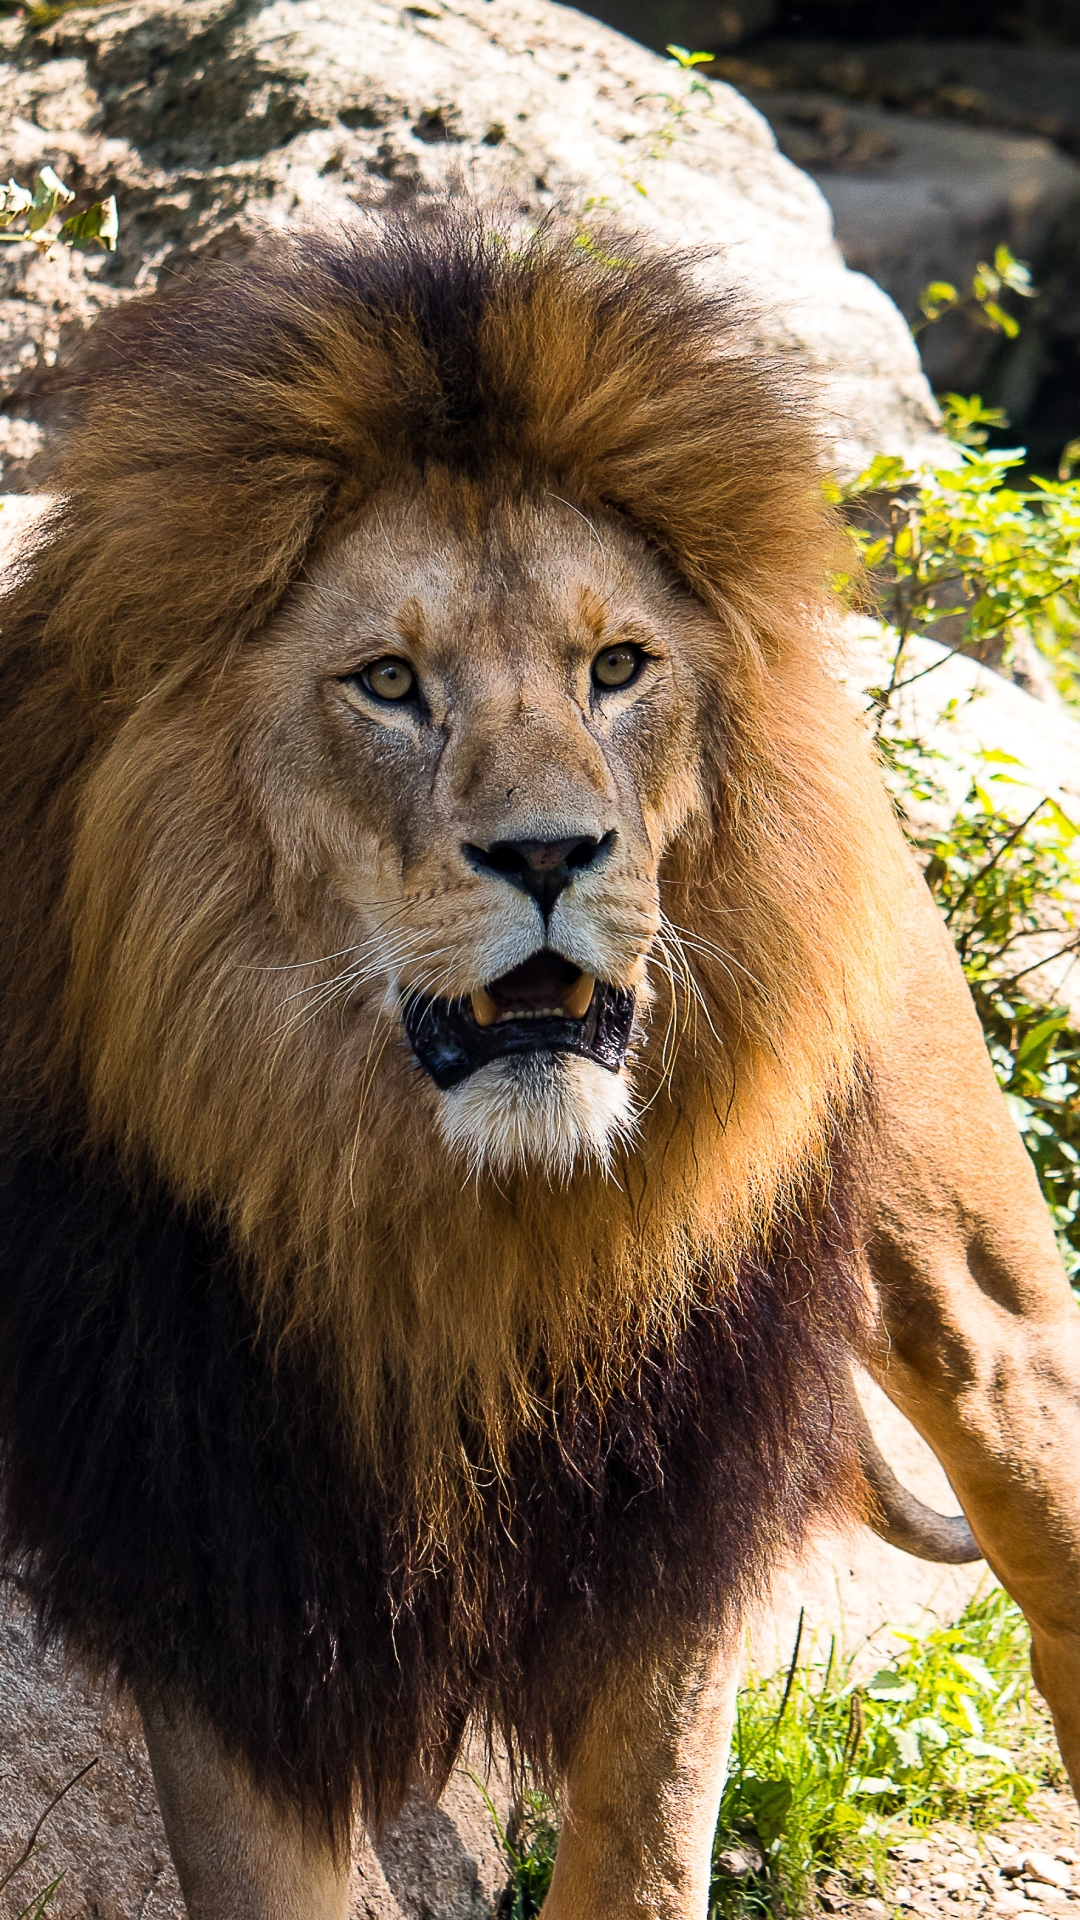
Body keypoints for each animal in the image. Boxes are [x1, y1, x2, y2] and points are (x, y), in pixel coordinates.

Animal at [2, 210, 1076, 1920]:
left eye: (617, 669)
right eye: (388, 683)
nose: (553, 853)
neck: (456, 1223)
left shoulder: (674, 1503)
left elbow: (639, 1852)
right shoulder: (209, 1537)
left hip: (984, 1308)